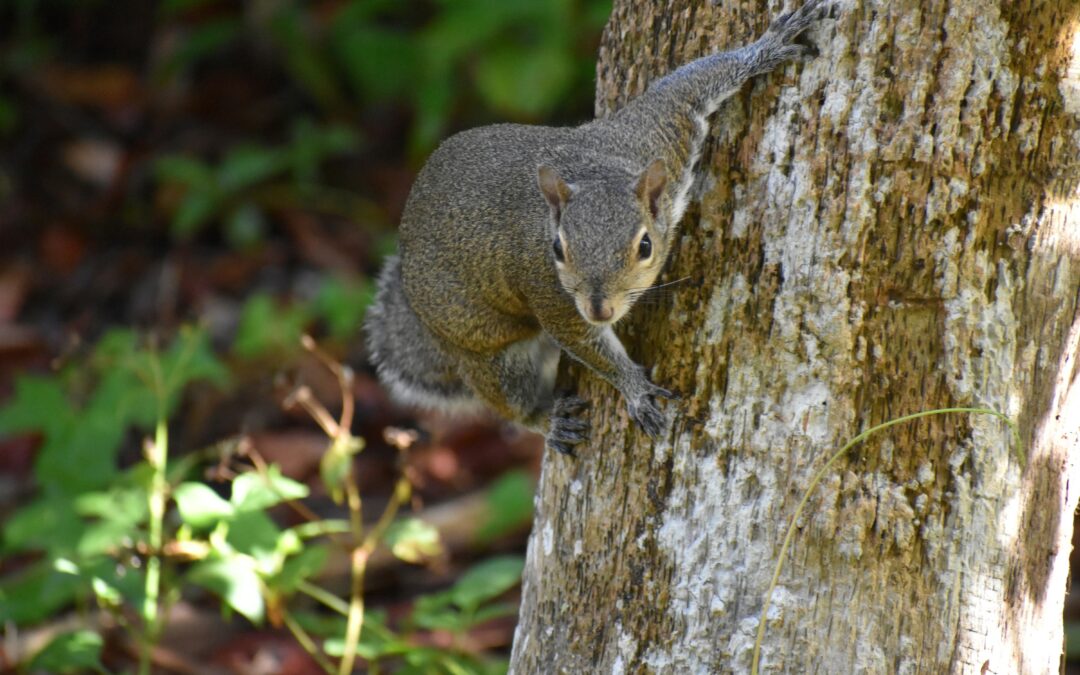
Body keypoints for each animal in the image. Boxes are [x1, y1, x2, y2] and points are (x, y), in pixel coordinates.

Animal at [365, 1, 827, 455]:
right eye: (557, 249)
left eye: (645, 246)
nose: (600, 309)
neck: (594, 173)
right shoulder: (548, 291)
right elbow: (585, 342)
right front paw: (635, 388)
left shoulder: (659, 133)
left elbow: (686, 87)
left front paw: (766, 48)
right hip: (484, 352)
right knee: (508, 401)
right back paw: (547, 421)